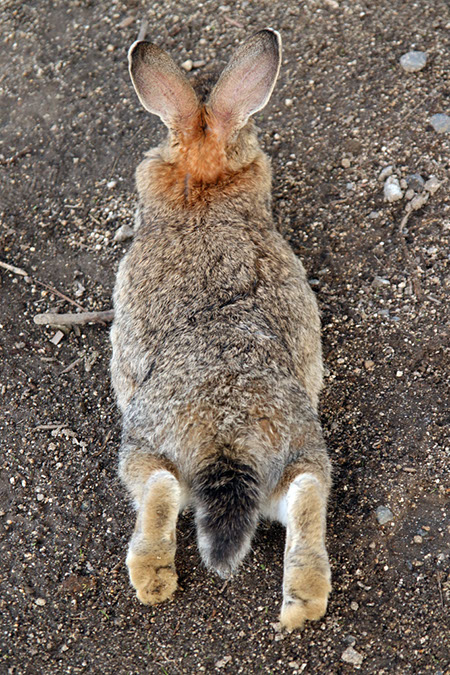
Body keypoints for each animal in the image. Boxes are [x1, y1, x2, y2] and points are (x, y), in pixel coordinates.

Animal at [110, 28, 331, 631]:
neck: (203, 194)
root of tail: (226, 438)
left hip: (143, 442)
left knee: (158, 486)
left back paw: (154, 582)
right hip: (301, 453)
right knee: (308, 494)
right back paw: (302, 605)